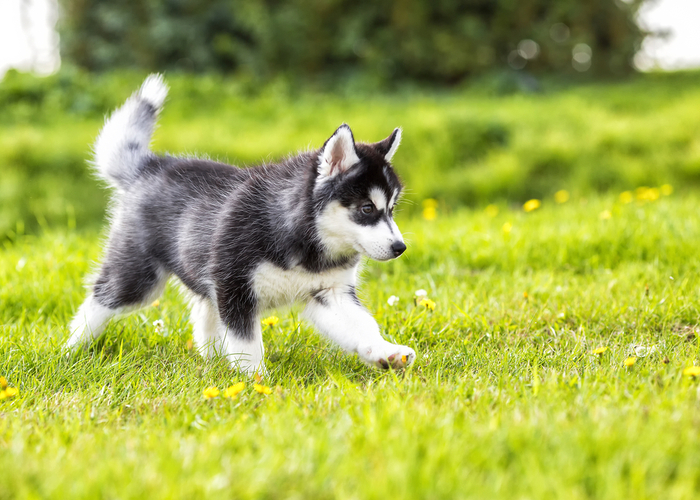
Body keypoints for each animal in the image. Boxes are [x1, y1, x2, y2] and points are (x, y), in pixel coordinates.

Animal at [65, 75, 416, 376]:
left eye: (392, 209)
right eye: (367, 208)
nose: (400, 248)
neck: (304, 240)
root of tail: (152, 164)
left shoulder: (329, 291)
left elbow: (361, 325)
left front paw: (384, 351)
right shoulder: (235, 288)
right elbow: (246, 342)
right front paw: (256, 380)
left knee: (203, 311)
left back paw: (212, 360)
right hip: (138, 276)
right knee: (101, 298)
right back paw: (72, 348)